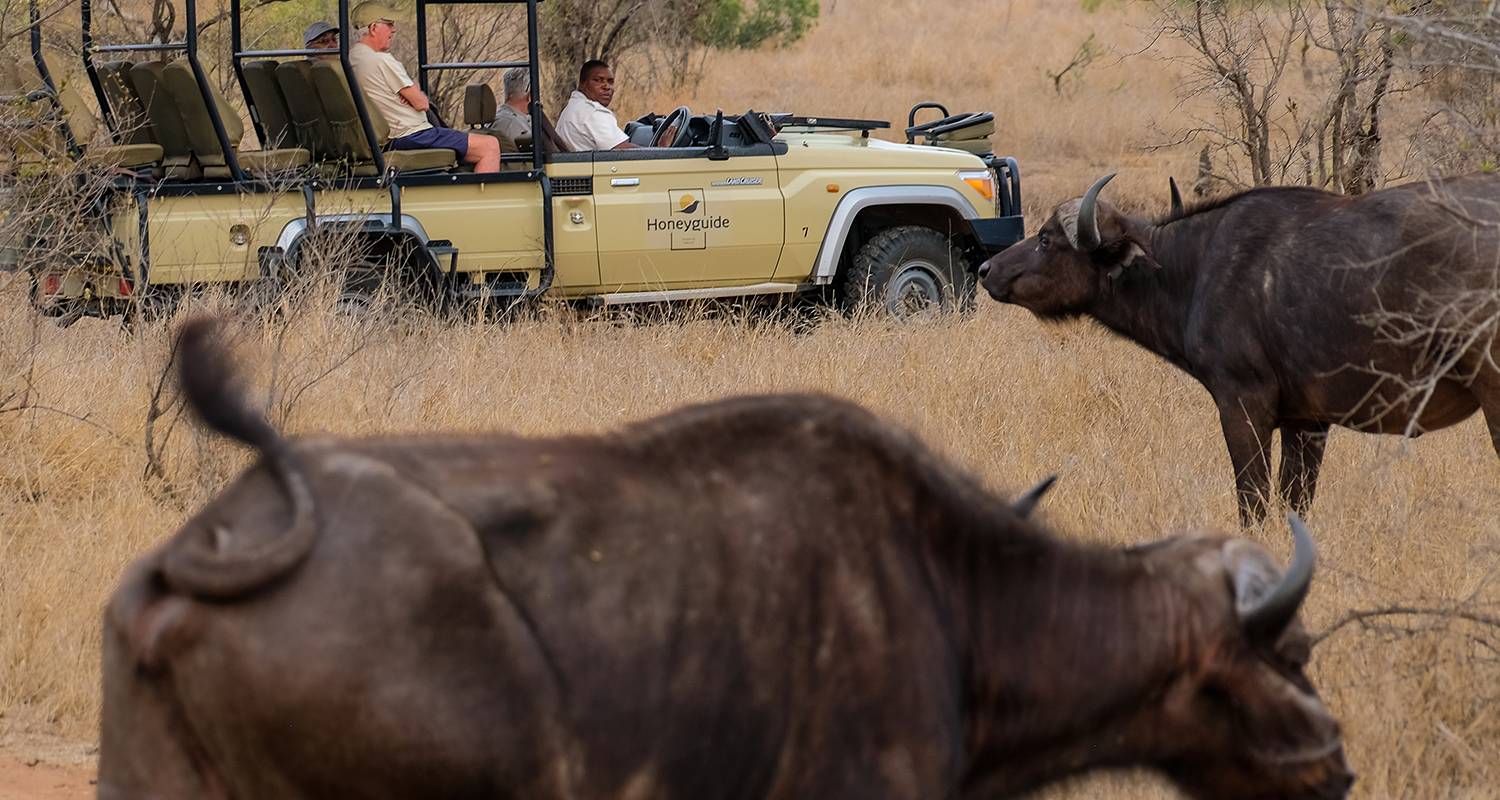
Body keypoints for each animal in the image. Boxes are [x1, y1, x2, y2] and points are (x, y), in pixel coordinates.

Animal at [978, 173, 1494, 525]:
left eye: (1046, 239)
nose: (986, 269)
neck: (1193, 267)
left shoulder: (1242, 405)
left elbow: (1253, 503)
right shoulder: (1308, 422)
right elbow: (1295, 502)